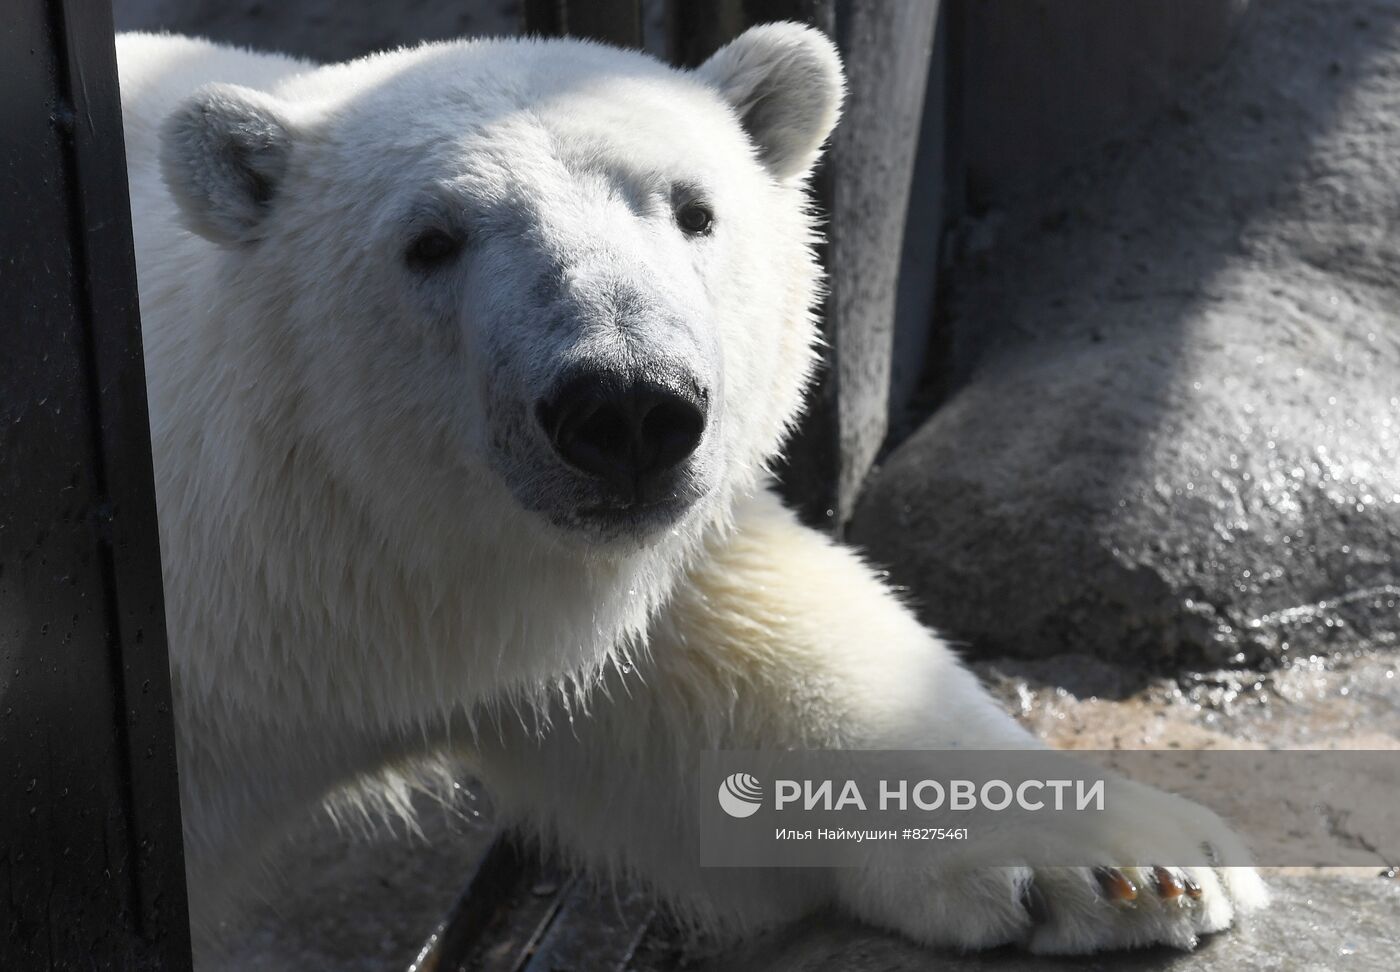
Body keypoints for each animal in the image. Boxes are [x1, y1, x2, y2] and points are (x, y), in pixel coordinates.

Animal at [114, 26, 1265, 963]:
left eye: (694, 210)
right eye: (429, 241)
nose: (626, 407)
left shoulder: (612, 579)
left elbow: (757, 664)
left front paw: (1128, 861)